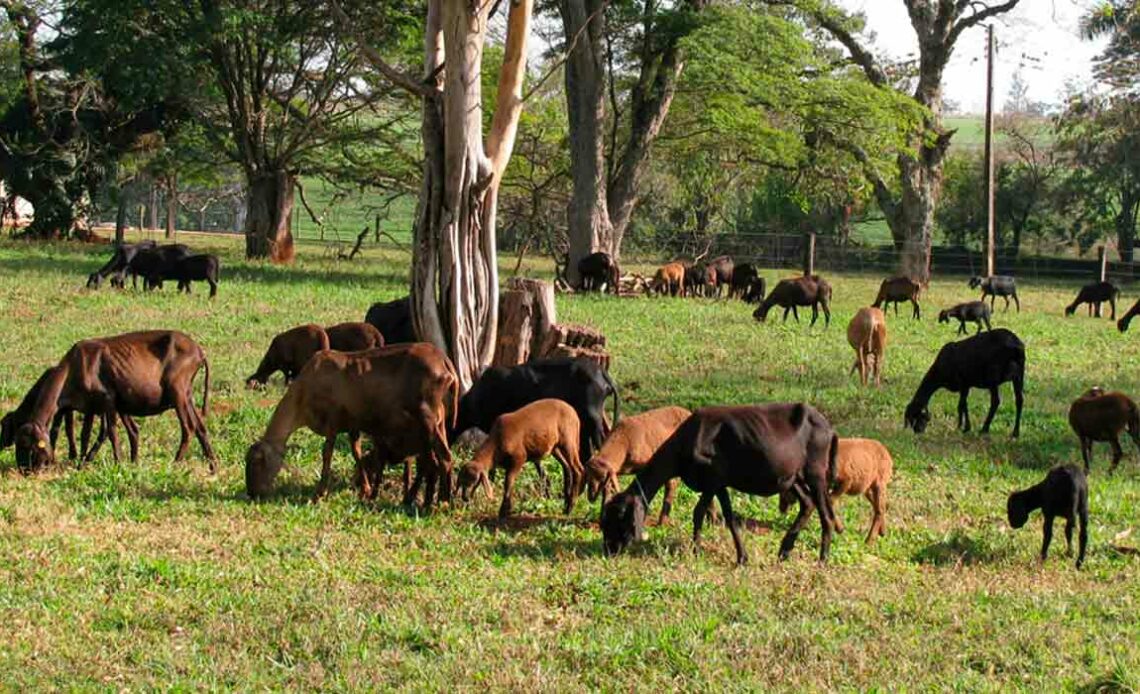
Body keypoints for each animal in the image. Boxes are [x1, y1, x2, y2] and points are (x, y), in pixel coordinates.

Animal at [245, 344, 458, 505]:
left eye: (256, 462)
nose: (252, 493)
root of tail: (444, 361)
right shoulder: (352, 423)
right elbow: (356, 452)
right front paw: (365, 489)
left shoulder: (332, 420)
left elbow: (327, 454)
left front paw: (319, 493)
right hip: (439, 421)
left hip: (427, 420)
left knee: (443, 458)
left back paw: (440, 502)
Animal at [456, 398, 588, 517]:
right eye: (461, 480)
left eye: (474, 480)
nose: (464, 497)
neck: (495, 446)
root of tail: (574, 413)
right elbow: (510, 483)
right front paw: (508, 509)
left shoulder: (519, 457)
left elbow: (508, 483)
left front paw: (503, 511)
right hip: (555, 447)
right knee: (567, 468)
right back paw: (566, 502)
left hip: (568, 438)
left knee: (577, 469)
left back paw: (570, 506)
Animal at [902, 328, 1030, 435]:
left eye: (916, 416)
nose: (918, 431)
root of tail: (1016, 347)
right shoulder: (966, 385)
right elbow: (963, 405)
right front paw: (963, 426)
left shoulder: (963, 383)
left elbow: (961, 405)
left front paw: (962, 427)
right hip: (1019, 374)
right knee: (1019, 400)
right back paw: (1015, 433)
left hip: (993, 375)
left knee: (996, 401)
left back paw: (984, 429)